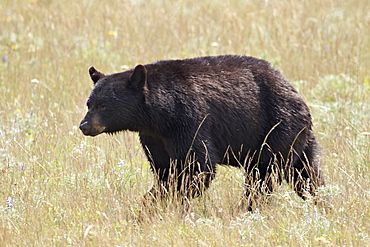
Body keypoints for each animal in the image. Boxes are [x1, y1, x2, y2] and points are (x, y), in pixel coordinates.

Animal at [79, 55, 324, 209]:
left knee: (264, 173)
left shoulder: (189, 120)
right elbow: (164, 169)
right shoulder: (154, 137)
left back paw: (249, 207)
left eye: (104, 106)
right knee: (307, 173)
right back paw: (322, 201)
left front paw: (169, 200)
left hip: (277, 126)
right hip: (298, 138)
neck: (160, 115)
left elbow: (198, 167)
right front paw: (151, 204)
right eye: (89, 104)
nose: (84, 126)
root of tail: (293, 90)